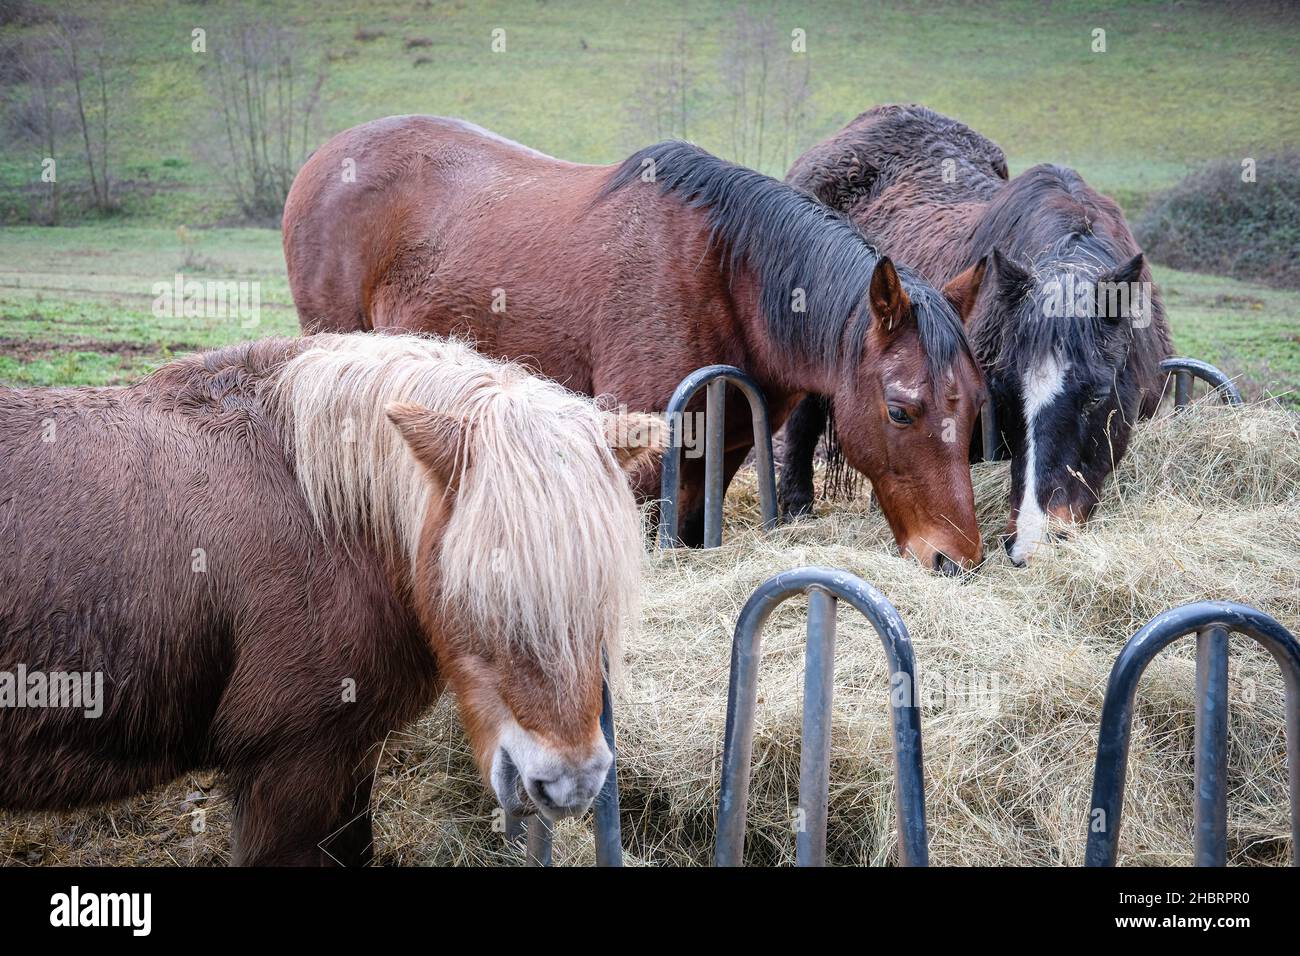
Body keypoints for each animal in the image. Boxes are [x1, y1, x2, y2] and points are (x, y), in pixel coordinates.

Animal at [0, 335, 665, 868]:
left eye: (601, 593)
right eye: (475, 590)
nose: (570, 783)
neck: (326, 512)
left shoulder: (347, 756)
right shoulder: (290, 770)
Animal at [284, 115, 982, 572]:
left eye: (977, 407)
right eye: (900, 410)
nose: (956, 559)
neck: (722, 271)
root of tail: (326, 158)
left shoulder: (724, 442)